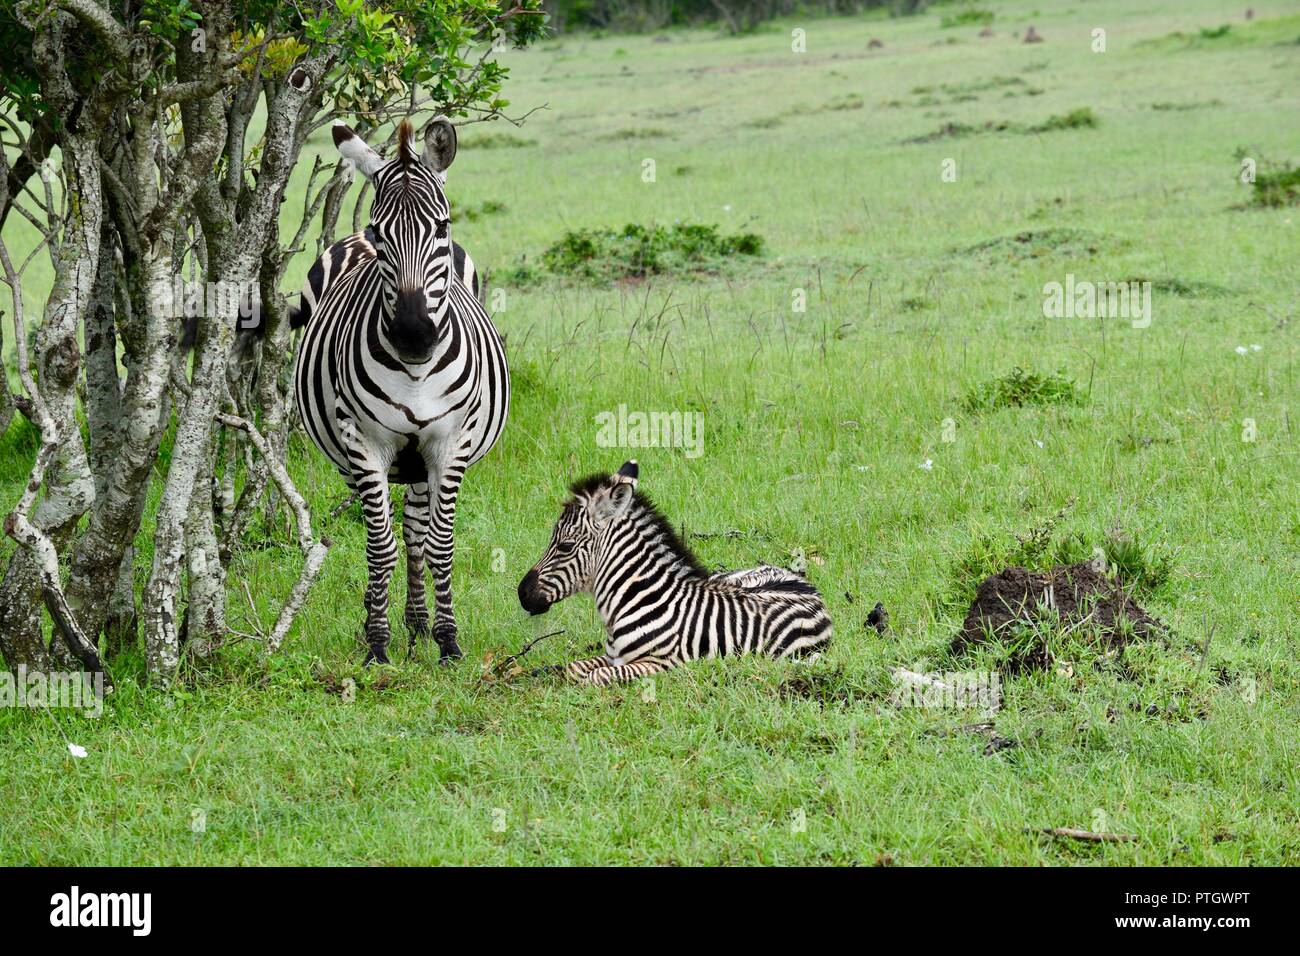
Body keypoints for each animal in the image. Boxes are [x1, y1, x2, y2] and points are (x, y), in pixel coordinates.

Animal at [297, 119, 509, 665]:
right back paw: (389, 618)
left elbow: (439, 543)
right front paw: (376, 642)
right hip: (351, 455)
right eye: (380, 233)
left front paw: (448, 640)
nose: (414, 336)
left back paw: (417, 622)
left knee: (416, 528)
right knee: (392, 527)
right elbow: (379, 544)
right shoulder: (364, 443)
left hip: (421, 457)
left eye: (442, 227)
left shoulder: (451, 441)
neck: (414, 372)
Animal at [517, 460, 832, 686]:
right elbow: (574, 668)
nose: (521, 594)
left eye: (565, 546)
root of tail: (804, 583)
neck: (636, 600)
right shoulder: (611, 656)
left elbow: (594, 677)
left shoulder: (663, 664)